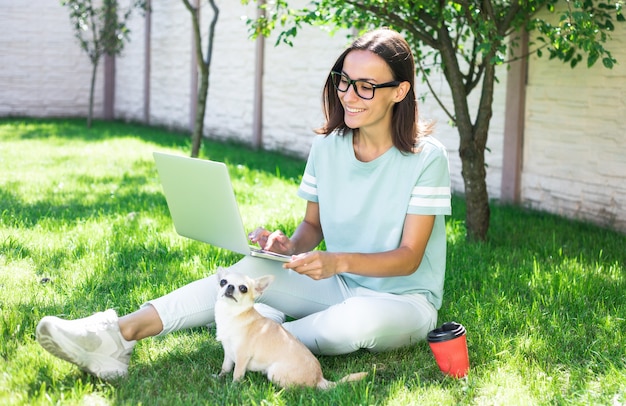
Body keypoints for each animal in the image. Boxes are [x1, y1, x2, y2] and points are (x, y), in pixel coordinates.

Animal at [213, 268, 366, 388]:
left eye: (243, 288)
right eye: (223, 282)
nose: (230, 286)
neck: (232, 314)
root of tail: (319, 378)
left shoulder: (242, 356)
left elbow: (237, 373)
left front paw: (233, 387)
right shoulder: (229, 352)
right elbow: (226, 367)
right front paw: (219, 377)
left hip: (274, 372)